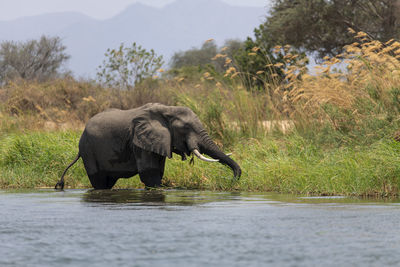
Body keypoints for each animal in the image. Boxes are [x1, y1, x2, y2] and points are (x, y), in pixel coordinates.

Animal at [54, 103, 242, 191]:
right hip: (88, 150)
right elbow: (149, 173)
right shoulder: (139, 141)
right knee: (99, 181)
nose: (230, 183)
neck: (167, 110)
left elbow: (158, 170)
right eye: (186, 128)